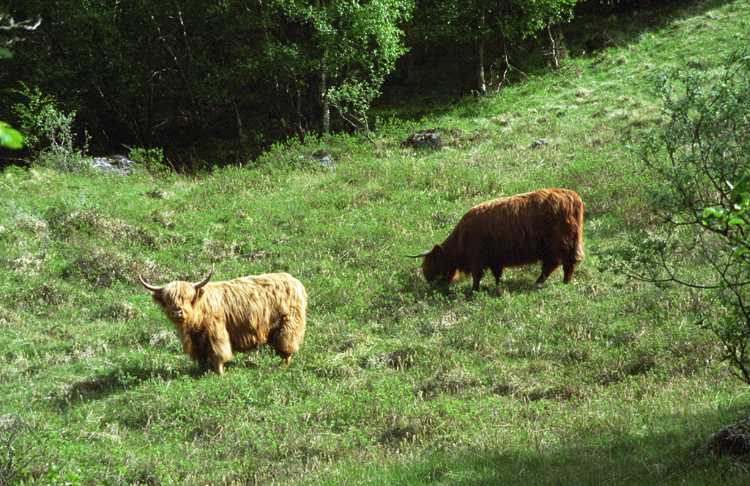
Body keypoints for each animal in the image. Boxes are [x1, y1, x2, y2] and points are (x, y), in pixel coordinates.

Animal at [140, 272, 306, 374]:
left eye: (188, 298)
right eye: (168, 300)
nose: (177, 312)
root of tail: (295, 281)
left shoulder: (216, 334)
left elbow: (218, 354)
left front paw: (219, 374)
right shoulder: (197, 343)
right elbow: (201, 359)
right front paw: (202, 373)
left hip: (288, 324)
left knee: (287, 347)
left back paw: (283, 366)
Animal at [414, 188, 584, 290]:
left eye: (430, 262)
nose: (427, 278)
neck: (461, 239)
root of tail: (572, 196)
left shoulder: (477, 258)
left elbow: (477, 276)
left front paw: (474, 290)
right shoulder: (495, 259)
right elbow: (497, 274)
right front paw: (497, 286)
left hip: (559, 245)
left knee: (559, 264)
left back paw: (551, 283)